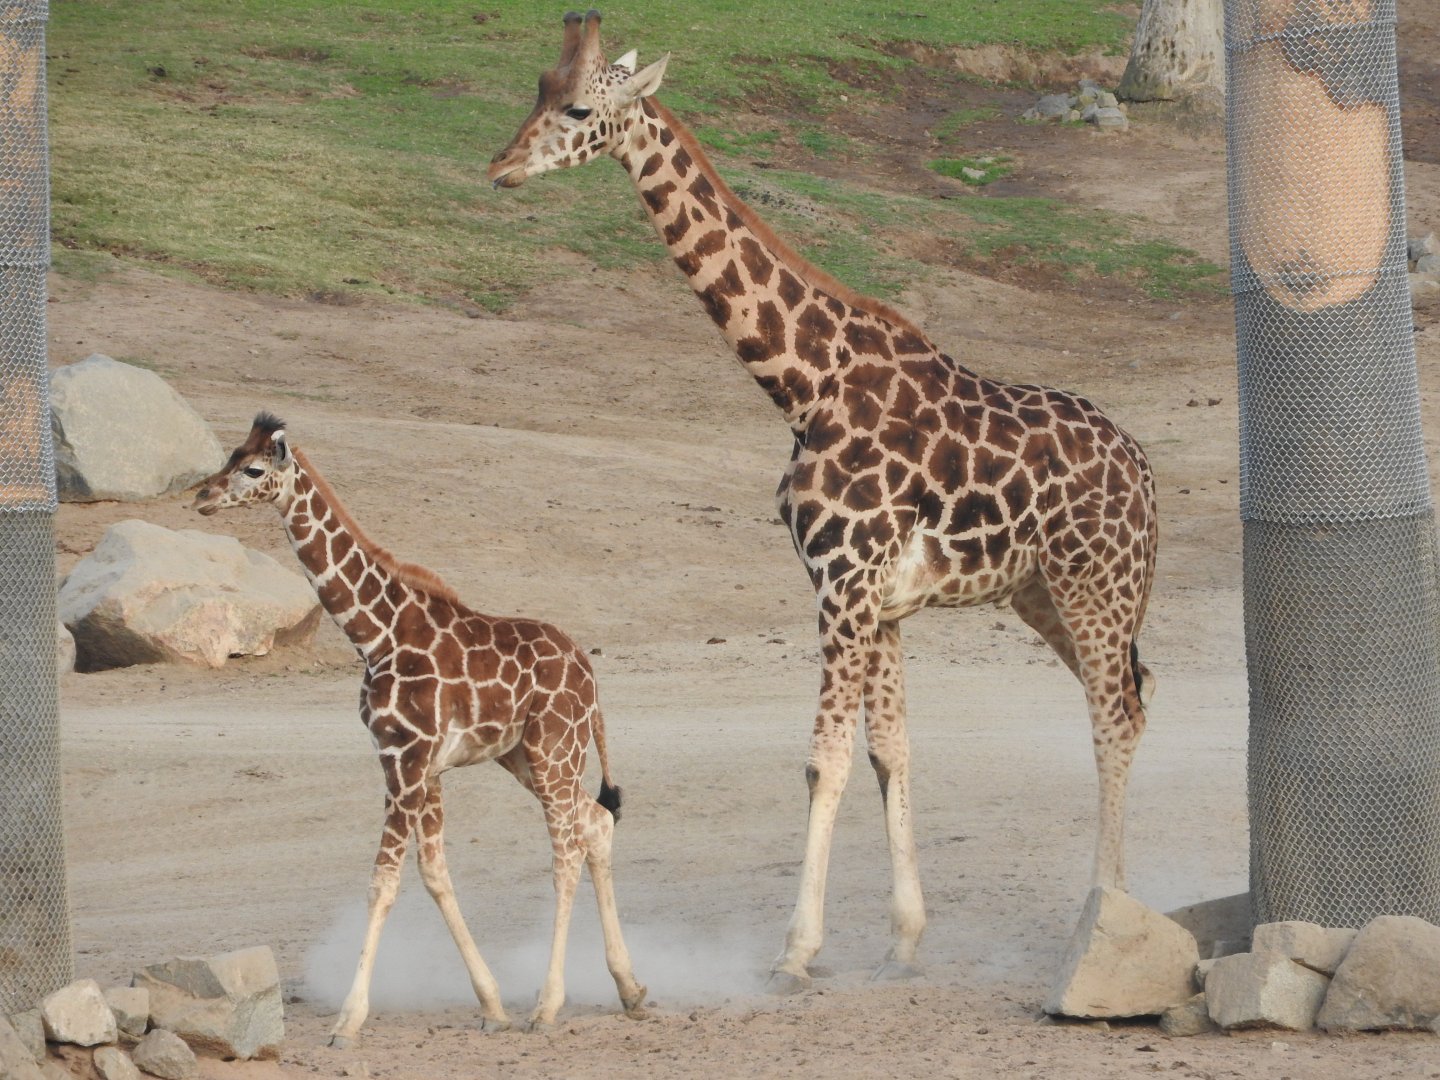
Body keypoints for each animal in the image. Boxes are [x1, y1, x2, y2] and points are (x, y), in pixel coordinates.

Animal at [190, 413, 647, 1039]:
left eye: (255, 469)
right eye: (231, 456)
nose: (202, 496)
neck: (374, 634)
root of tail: (590, 674)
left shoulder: (404, 758)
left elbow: (383, 881)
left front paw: (348, 1020)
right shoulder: (419, 763)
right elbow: (433, 873)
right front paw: (491, 1005)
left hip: (554, 747)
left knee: (566, 852)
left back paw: (548, 1005)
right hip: (526, 754)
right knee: (597, 822)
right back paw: (629, 988)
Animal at [488, 11, 1158, 991]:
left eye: (577, 107)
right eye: (535, 87)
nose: (498, 168)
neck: (803, 384)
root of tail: (1146, 478)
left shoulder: (843, 584)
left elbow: (825, 762)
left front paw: (797, 949)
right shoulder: (876, 599)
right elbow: (889, 752)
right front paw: (905, 937)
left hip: (1095, 587)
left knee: (1112, 716)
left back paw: (1104, 903)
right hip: (1045, 596)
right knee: (1133, 703)